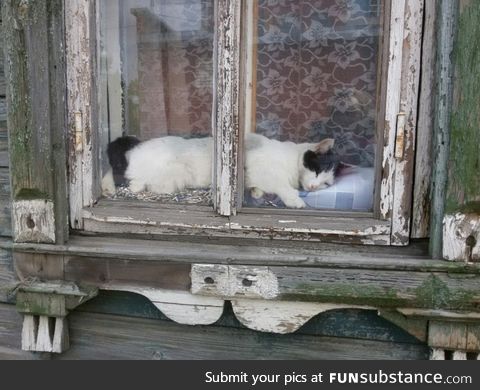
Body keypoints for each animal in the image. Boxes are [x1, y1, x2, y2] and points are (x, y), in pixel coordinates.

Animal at [103, 133, 340, 209]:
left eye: (327, 183)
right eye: (317, 169)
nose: (313, 186)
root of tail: (134, 149)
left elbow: (259, 188)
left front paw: (256, 193)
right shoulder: (264, 169)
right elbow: (282, 186)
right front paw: (296, 200)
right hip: (172, 176)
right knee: (138, 185)